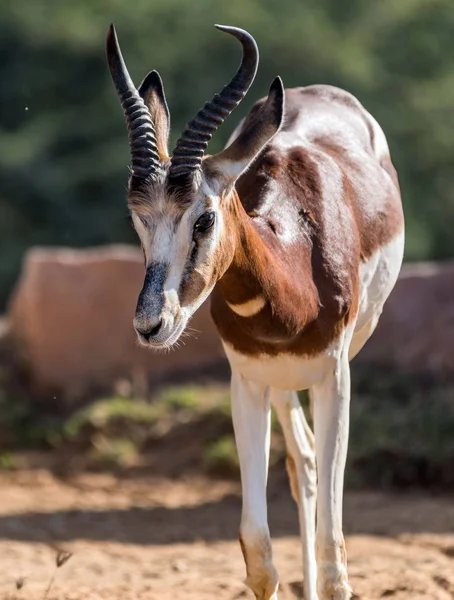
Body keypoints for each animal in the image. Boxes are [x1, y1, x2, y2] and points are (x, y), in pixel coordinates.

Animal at [105, 22, 404, 600]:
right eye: (137, 219)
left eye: (203, 218)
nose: (152, 323)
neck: (296, 267)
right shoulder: (245, 378)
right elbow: (259, 553)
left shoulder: (336, 375)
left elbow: (334, 557)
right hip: (279, 379)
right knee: (302, 461)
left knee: (310, 466)